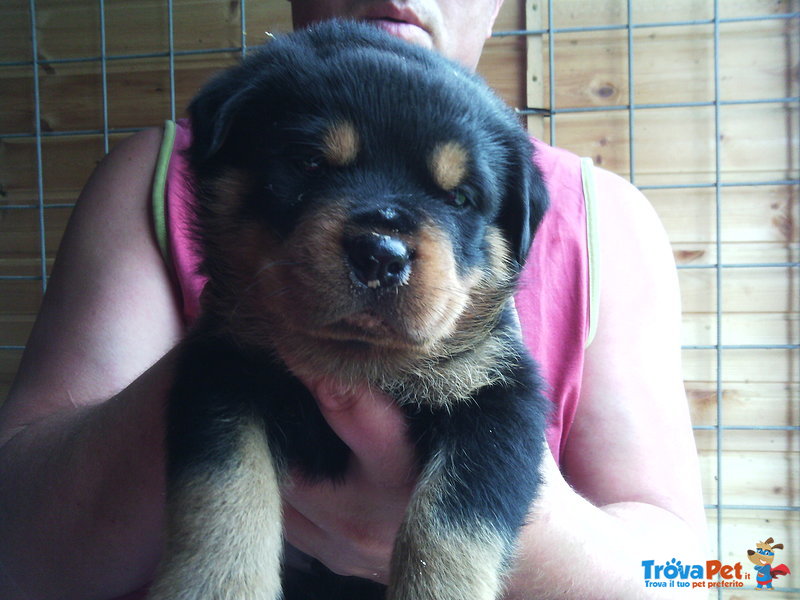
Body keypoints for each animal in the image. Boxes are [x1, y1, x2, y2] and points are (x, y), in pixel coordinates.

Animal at [148, 18, 552, 600]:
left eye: (459, 199)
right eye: (309, 164)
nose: (381, 253)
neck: (357, 363)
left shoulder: (498, 395)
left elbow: (451, 528)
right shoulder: (223, 366)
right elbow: (225, 492)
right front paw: (219, 584)